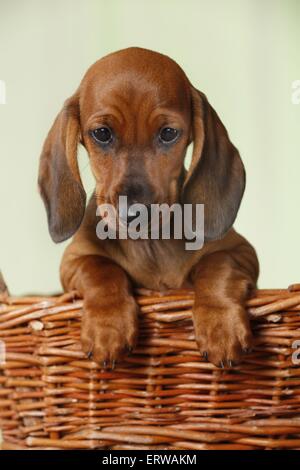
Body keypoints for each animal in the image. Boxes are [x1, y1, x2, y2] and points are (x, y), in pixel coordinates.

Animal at [38, 48, 258, 370]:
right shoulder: (73, 261)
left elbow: (217, 265)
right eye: (101, 133)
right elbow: (100, 268)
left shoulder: (242, 252)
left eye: (168, 133)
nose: (133, 214)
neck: (151, 245)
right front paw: (108, 326)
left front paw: (221, 325)